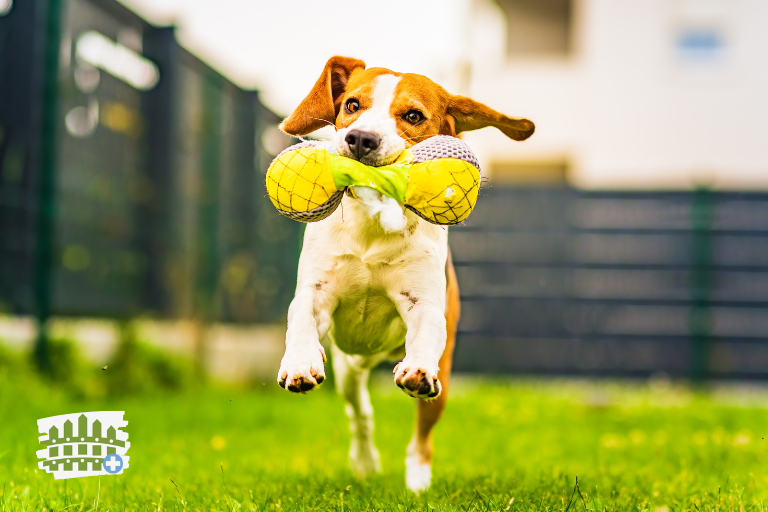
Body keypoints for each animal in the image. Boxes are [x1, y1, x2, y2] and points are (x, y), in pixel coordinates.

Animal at [276, 56, 536, 492]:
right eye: (352, 105)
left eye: (413, 116)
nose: (360, 139)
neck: (373, 221)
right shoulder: (315, 292)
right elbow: (301, 319)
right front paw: (298, 363)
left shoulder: (425, 304)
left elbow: (426, 328)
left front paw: (417, 369)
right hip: (348, 368)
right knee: (360, 412)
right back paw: (365, 462)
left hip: (441, 382)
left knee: (421, 436)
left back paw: (417, 481)